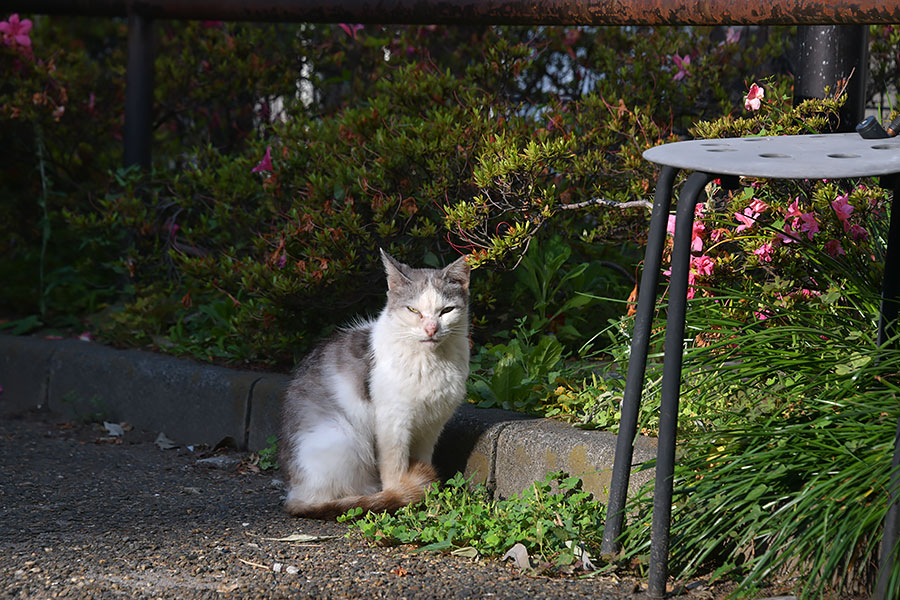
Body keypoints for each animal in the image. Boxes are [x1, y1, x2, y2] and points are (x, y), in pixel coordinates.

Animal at [280, 250, 472, 520]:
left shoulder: (431, 426)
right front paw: (403, 496)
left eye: (446, 310)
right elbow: (394, 467)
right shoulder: (393, 423)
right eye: (413, 310)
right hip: (342, 438)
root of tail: (294, 494)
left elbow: (423, 458)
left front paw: (429, 498)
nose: (431, 328)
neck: (432, 362)